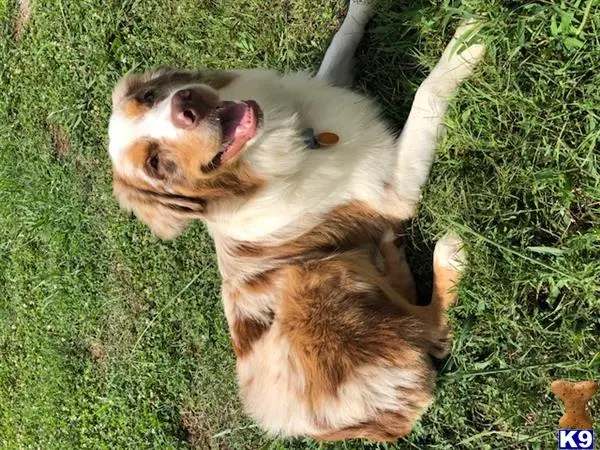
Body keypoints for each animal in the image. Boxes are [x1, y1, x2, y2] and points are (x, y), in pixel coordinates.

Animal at [106, 0, 482, 442]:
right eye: (156, 164)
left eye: (149, 96)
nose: (186, 105)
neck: (281, 144)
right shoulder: (393, 186)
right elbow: (426, 93)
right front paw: (468, 41)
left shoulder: (327, 82)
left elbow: (341, 42)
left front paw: (362, 6)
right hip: (316, 277)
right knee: (434, 331)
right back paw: (448, 255)